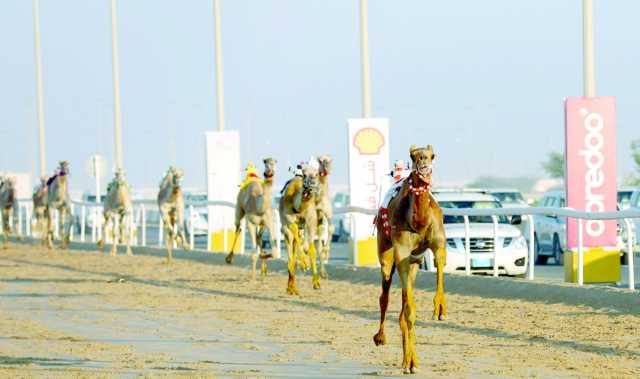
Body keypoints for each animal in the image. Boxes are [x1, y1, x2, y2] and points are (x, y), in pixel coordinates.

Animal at [278, 162, 320, 296]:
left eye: (317, 174)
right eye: (305, 174)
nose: (309, 186)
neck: (299, 208)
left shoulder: (311, 221)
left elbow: (311, 249)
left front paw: (316, 283)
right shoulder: (289, 219)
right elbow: (295, 233)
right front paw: (305, 264)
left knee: (295, 253)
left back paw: (293, 288)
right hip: (285, 230)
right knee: (290, 256)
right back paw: (291, 288)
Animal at [372, 145, 448, 374]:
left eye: (432, 155)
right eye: (413, 156)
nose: (423, 162)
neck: (418, 221)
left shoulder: (436, 244)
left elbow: (440, 263)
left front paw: (440, 309)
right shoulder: (402, 253)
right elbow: (409, 312)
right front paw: (409, 363)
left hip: (414, 264)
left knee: (403, 306)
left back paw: (410, 359)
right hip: (385, 251)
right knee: (385, 296)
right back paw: (381, 338)